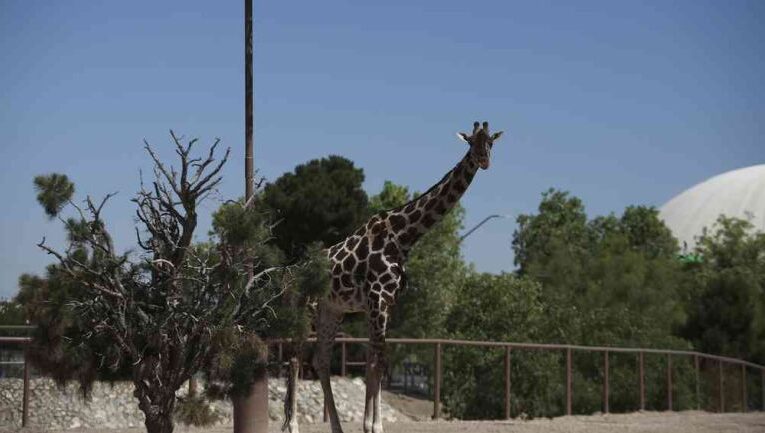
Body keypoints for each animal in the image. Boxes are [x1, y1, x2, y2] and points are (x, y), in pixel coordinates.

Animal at [284, 120, 504, 432]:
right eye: (472, 142)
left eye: (491, 142)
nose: (484, 160)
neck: (403, 237)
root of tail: (290, 276)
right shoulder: (376, 299)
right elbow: (375, 363)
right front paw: (371, 426)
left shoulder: (387, 303)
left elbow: (379, 360)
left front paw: (373, 425)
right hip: (303, 308)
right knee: (293, 358)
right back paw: (291, 425)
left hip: (331, 310)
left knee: (320, 360)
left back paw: (337, 427)